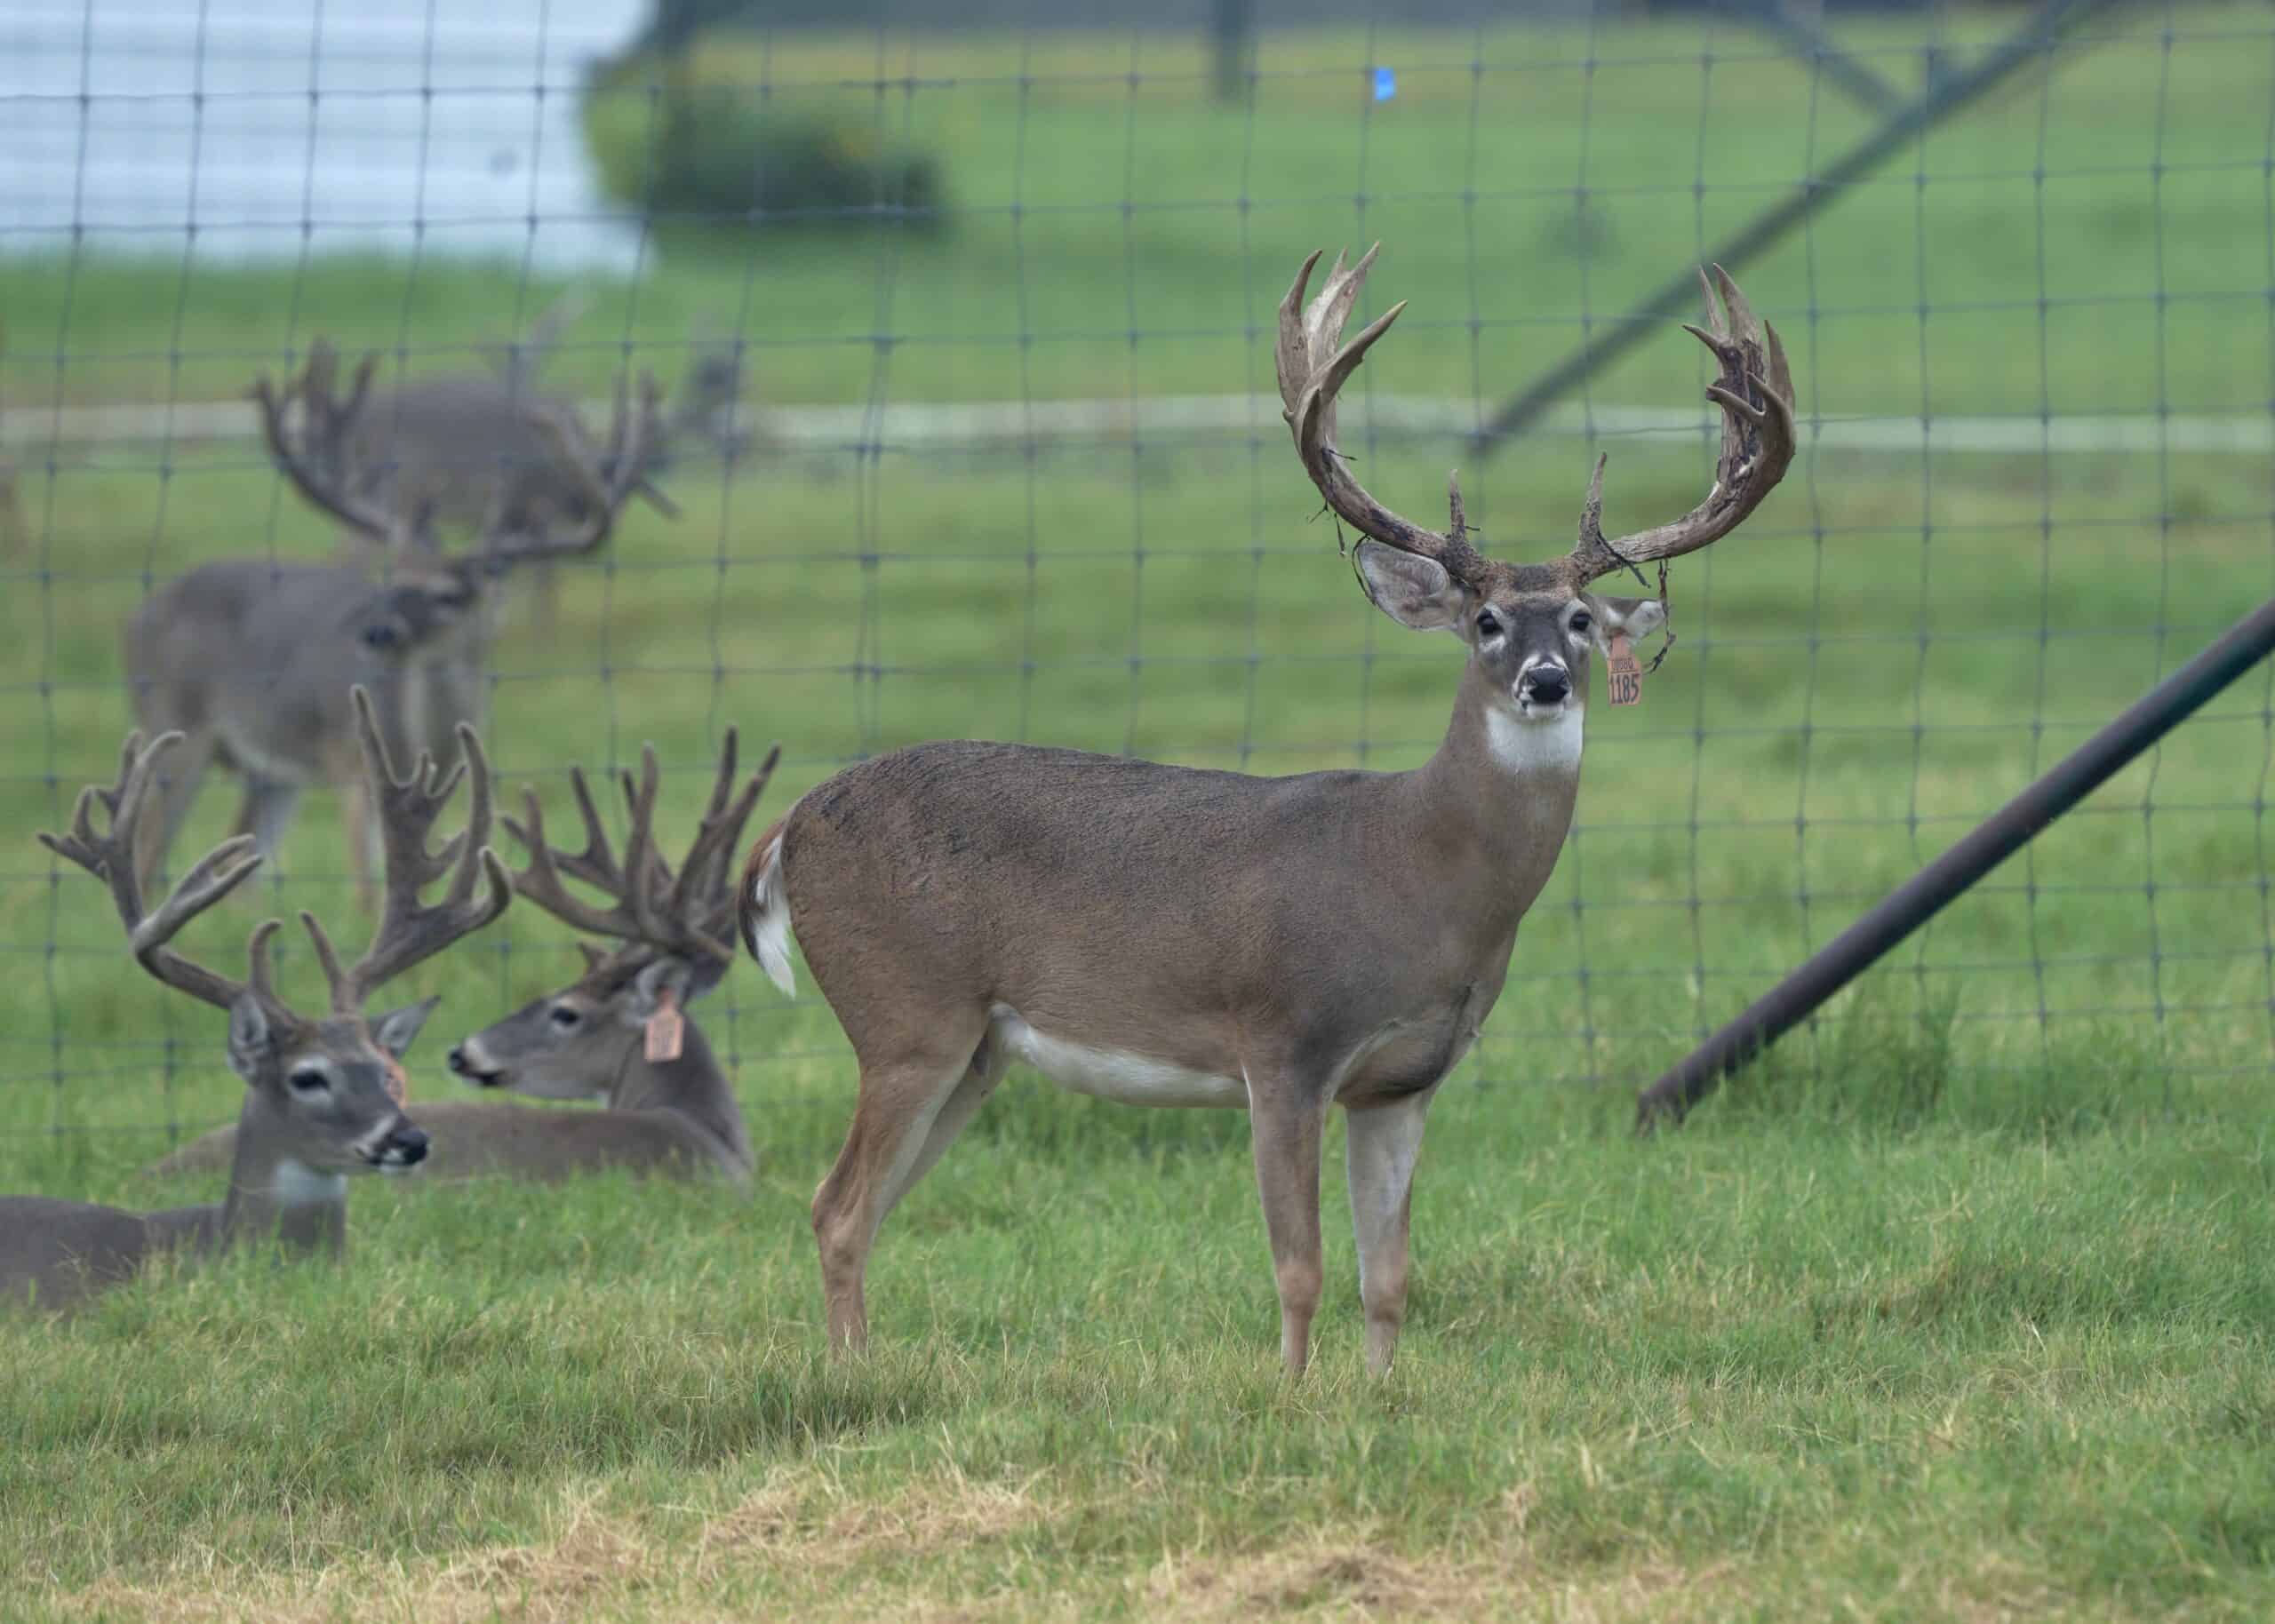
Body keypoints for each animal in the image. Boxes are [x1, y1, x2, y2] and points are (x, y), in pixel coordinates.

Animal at [122, 344, 658, 908]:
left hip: (269, 772)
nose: (375, 631)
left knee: (241, 860)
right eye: (395, 576)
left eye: (449, 594)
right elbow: (364, 888)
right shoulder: (346, 757)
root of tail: (138, 617)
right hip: (173, 725)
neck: (419, 742)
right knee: (150, 851)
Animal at [736, 248, 1796, 1376]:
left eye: (1585, 620)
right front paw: (1289, 1394)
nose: (1546, 680)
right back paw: (848, 1376)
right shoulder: (1283, 1042)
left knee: (857, 1206)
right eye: (1486, 620)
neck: (1421, 877)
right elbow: (1301, 1266)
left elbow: (1388, 1276)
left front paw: (1378, 1394)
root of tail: (790, 825)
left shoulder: (1403, 1080)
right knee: (838, 1206)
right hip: (906, 1012)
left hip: (976, 1048)